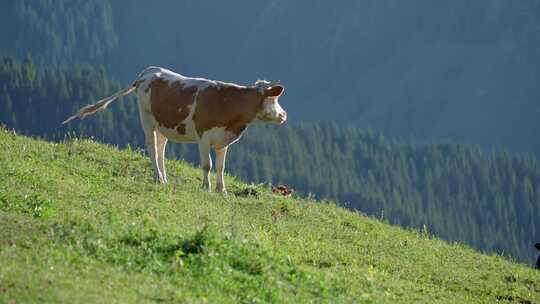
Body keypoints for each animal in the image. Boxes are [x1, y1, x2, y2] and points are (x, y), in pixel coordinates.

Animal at [63, 66, 286, 194]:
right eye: (275, 99)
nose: (284, 115)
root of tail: (147, 72)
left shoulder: (223, 140)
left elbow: (221, 166)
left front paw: (222, 190)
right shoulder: (204, 137)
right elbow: (207, 165)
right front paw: (206, 188)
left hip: (163, 126)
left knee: (161, 149)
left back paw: (164, 177)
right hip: (146, 118)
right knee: (152, 148)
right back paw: (158, 179)